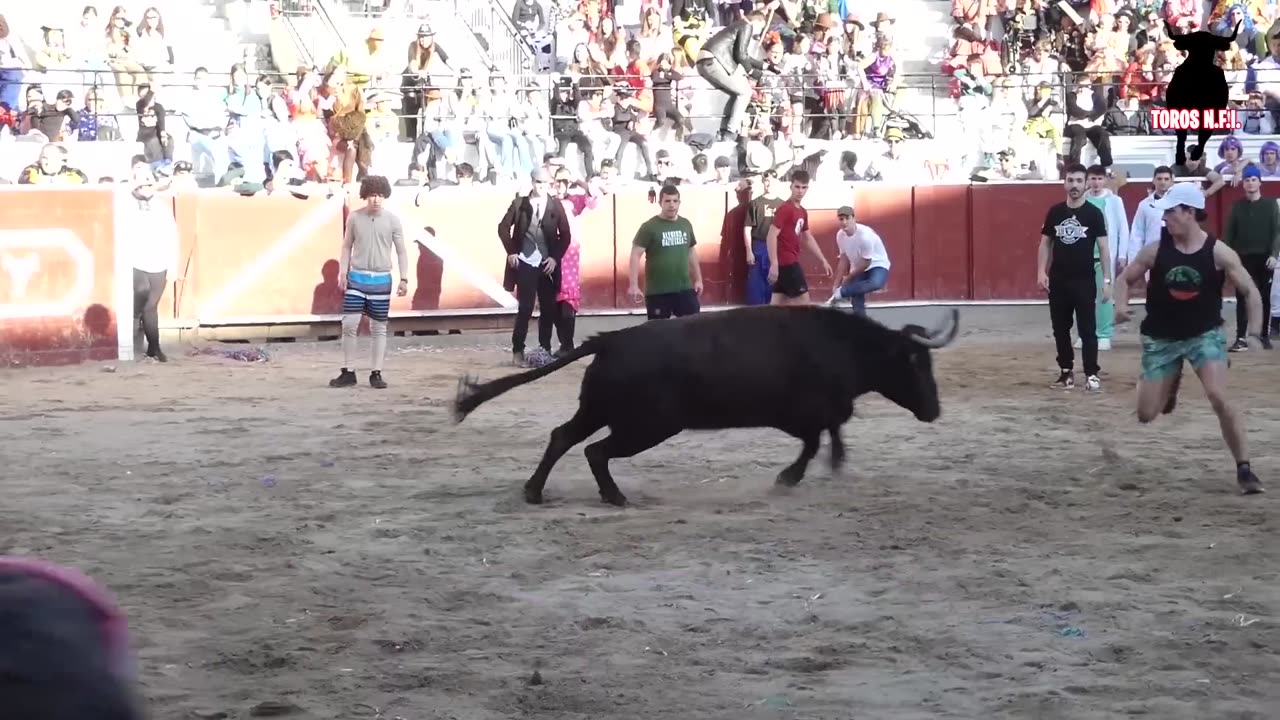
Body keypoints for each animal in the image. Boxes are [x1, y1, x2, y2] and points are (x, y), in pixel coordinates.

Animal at [453, 303, 962, 504]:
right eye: (916, 365)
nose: (935, 410)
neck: (843, 346)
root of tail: (612, 339)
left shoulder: (815, 413)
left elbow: (831, 434)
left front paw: (833, 466)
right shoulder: (805, 413)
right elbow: (817, 440)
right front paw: (788, 478)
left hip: (597, 410)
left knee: (563, 437)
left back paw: (534, 492)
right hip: (647, 426)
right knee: (595, 451)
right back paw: (615, 497)